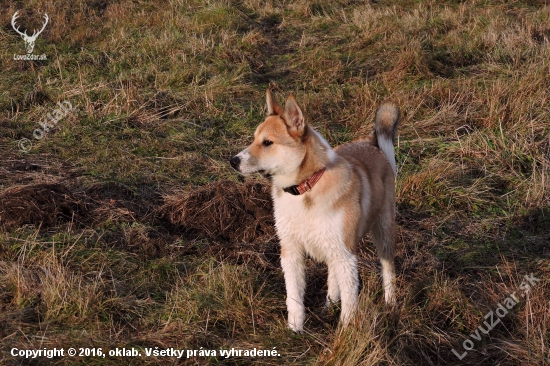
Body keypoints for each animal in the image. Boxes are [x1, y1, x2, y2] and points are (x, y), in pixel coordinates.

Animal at [230, 90, 402, 334]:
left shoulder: (346, 255)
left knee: (388, 270)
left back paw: (391, 304)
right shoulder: (291, 252)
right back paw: (329, 303)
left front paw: (345, 332)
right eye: (254, 139)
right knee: (333, 274)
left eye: (268, 142)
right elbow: (294, 296)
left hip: (384, 232)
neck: (306, 188)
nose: (233, 161)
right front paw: (295, 329)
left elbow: (350, 303)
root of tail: (370, 143)